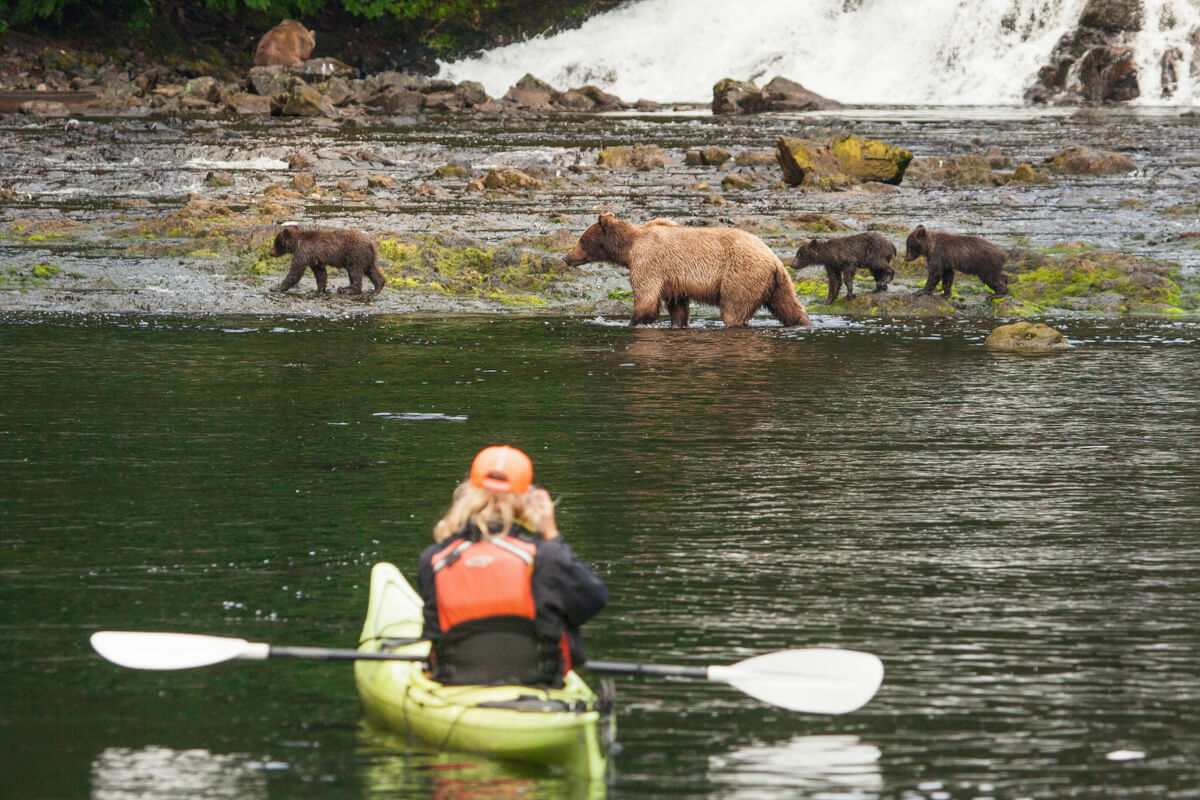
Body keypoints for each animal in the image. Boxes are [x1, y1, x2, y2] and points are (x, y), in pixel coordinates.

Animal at [565, 214, 812, 328]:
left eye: (582, 240)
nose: (567, 257)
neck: (629, 247)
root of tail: (774, 260)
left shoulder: (648, 263)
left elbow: (646, 298)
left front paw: (632, 321)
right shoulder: (674, 281)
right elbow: (678, 307)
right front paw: (677, 323)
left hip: (742, 275)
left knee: (733, 309)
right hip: (778, 283)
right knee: (789, 307)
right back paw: (803, 322)